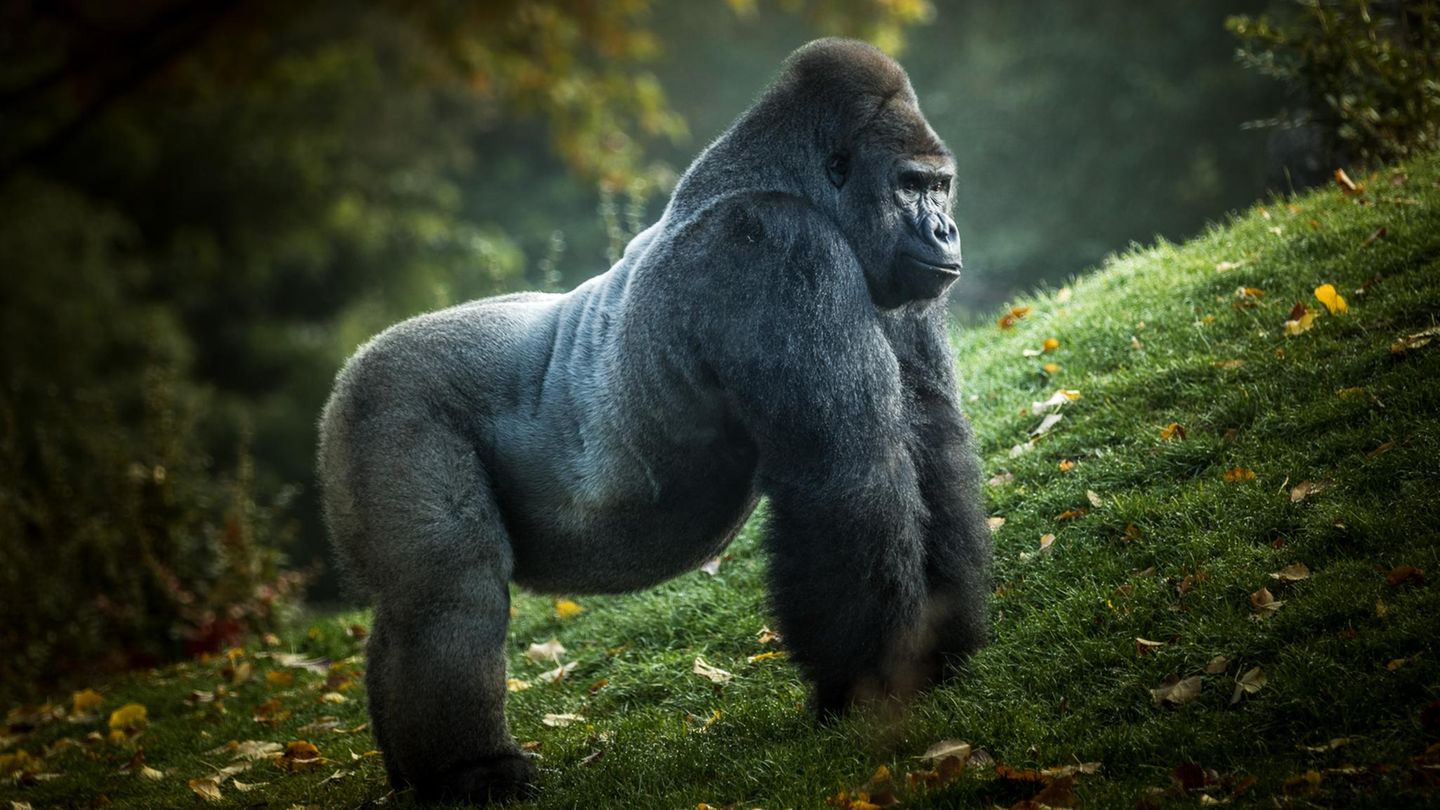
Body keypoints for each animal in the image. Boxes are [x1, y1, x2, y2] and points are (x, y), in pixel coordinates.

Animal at [318, 37, 991, 804]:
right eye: (910, 185)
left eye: (939, 187)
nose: (945, 228)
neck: (788, 181)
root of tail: (358, 358)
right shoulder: (775, 246)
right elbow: (847, 474)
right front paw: (867, 690)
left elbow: (934, 441)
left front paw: (944, 653)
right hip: (386, 403)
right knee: (448, 593)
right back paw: (472, 770)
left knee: (407, 609)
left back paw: (418, 778)